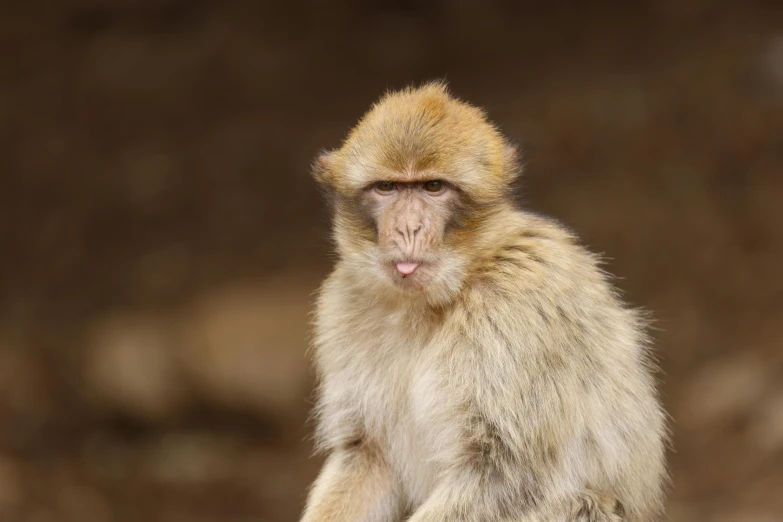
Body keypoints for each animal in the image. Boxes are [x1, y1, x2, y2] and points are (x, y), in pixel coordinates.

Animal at [300, 82, 668, 520]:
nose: (408, 228)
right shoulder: (343, 302)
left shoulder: (515, 306)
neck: (439, 296)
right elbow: (367, 454)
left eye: (433, 187)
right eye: (387, 187)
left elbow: (506, 471)